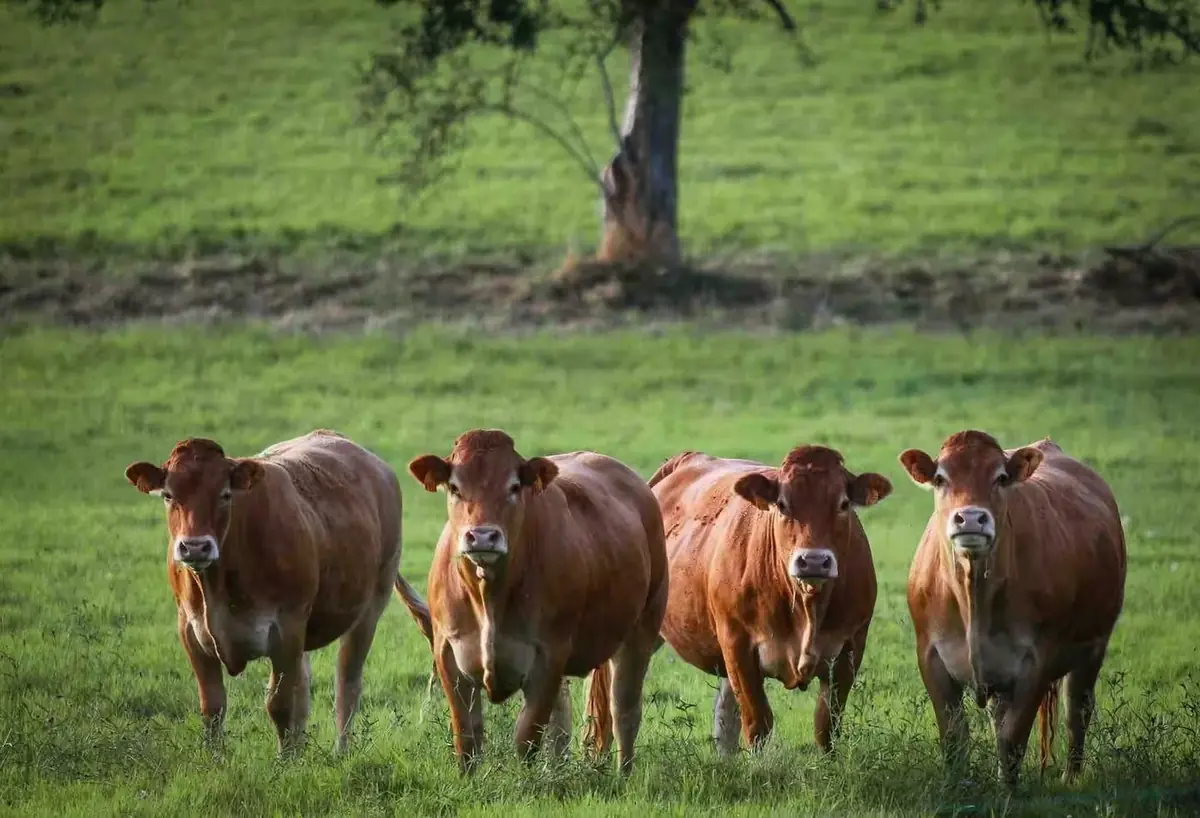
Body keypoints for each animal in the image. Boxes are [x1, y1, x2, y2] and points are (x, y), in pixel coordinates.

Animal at [124, 429, 422, 756]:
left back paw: (340, 751)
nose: (195, 547)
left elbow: (279, 704)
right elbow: (213, 707)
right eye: (168, 495)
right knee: (304, 686)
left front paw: (285, 761)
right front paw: (215, 758)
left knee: (347, 682)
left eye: (225, 495)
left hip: (369, 608)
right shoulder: (190, 631)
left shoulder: (286, 628)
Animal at [395, 429, 668, 775]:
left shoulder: (548, 656)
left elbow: (527, 736)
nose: (482, 537)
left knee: (624, 711)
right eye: (455, 487)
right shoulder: (448, 654)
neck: (489, 597)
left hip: (641, 629)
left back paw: (624, 775)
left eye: (513, 486)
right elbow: (467, 738)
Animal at [645, 445, 892, 756]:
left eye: (844, 503)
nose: (814, 561)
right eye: (783, 505)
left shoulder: (851, 647)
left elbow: (826, 725)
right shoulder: (737, 644)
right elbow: (757, 723)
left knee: (725, 718)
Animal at [899, 431, 1127, 788]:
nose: (971, 518)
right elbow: (955, 737)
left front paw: (1008, 790)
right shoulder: (931, 656)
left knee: (1077, 710)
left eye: (1001, 478)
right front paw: (957, 787)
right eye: (940, 478)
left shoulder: (1035, 663)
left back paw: (1070, 778)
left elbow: (1013, 739)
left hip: (1093, 647)